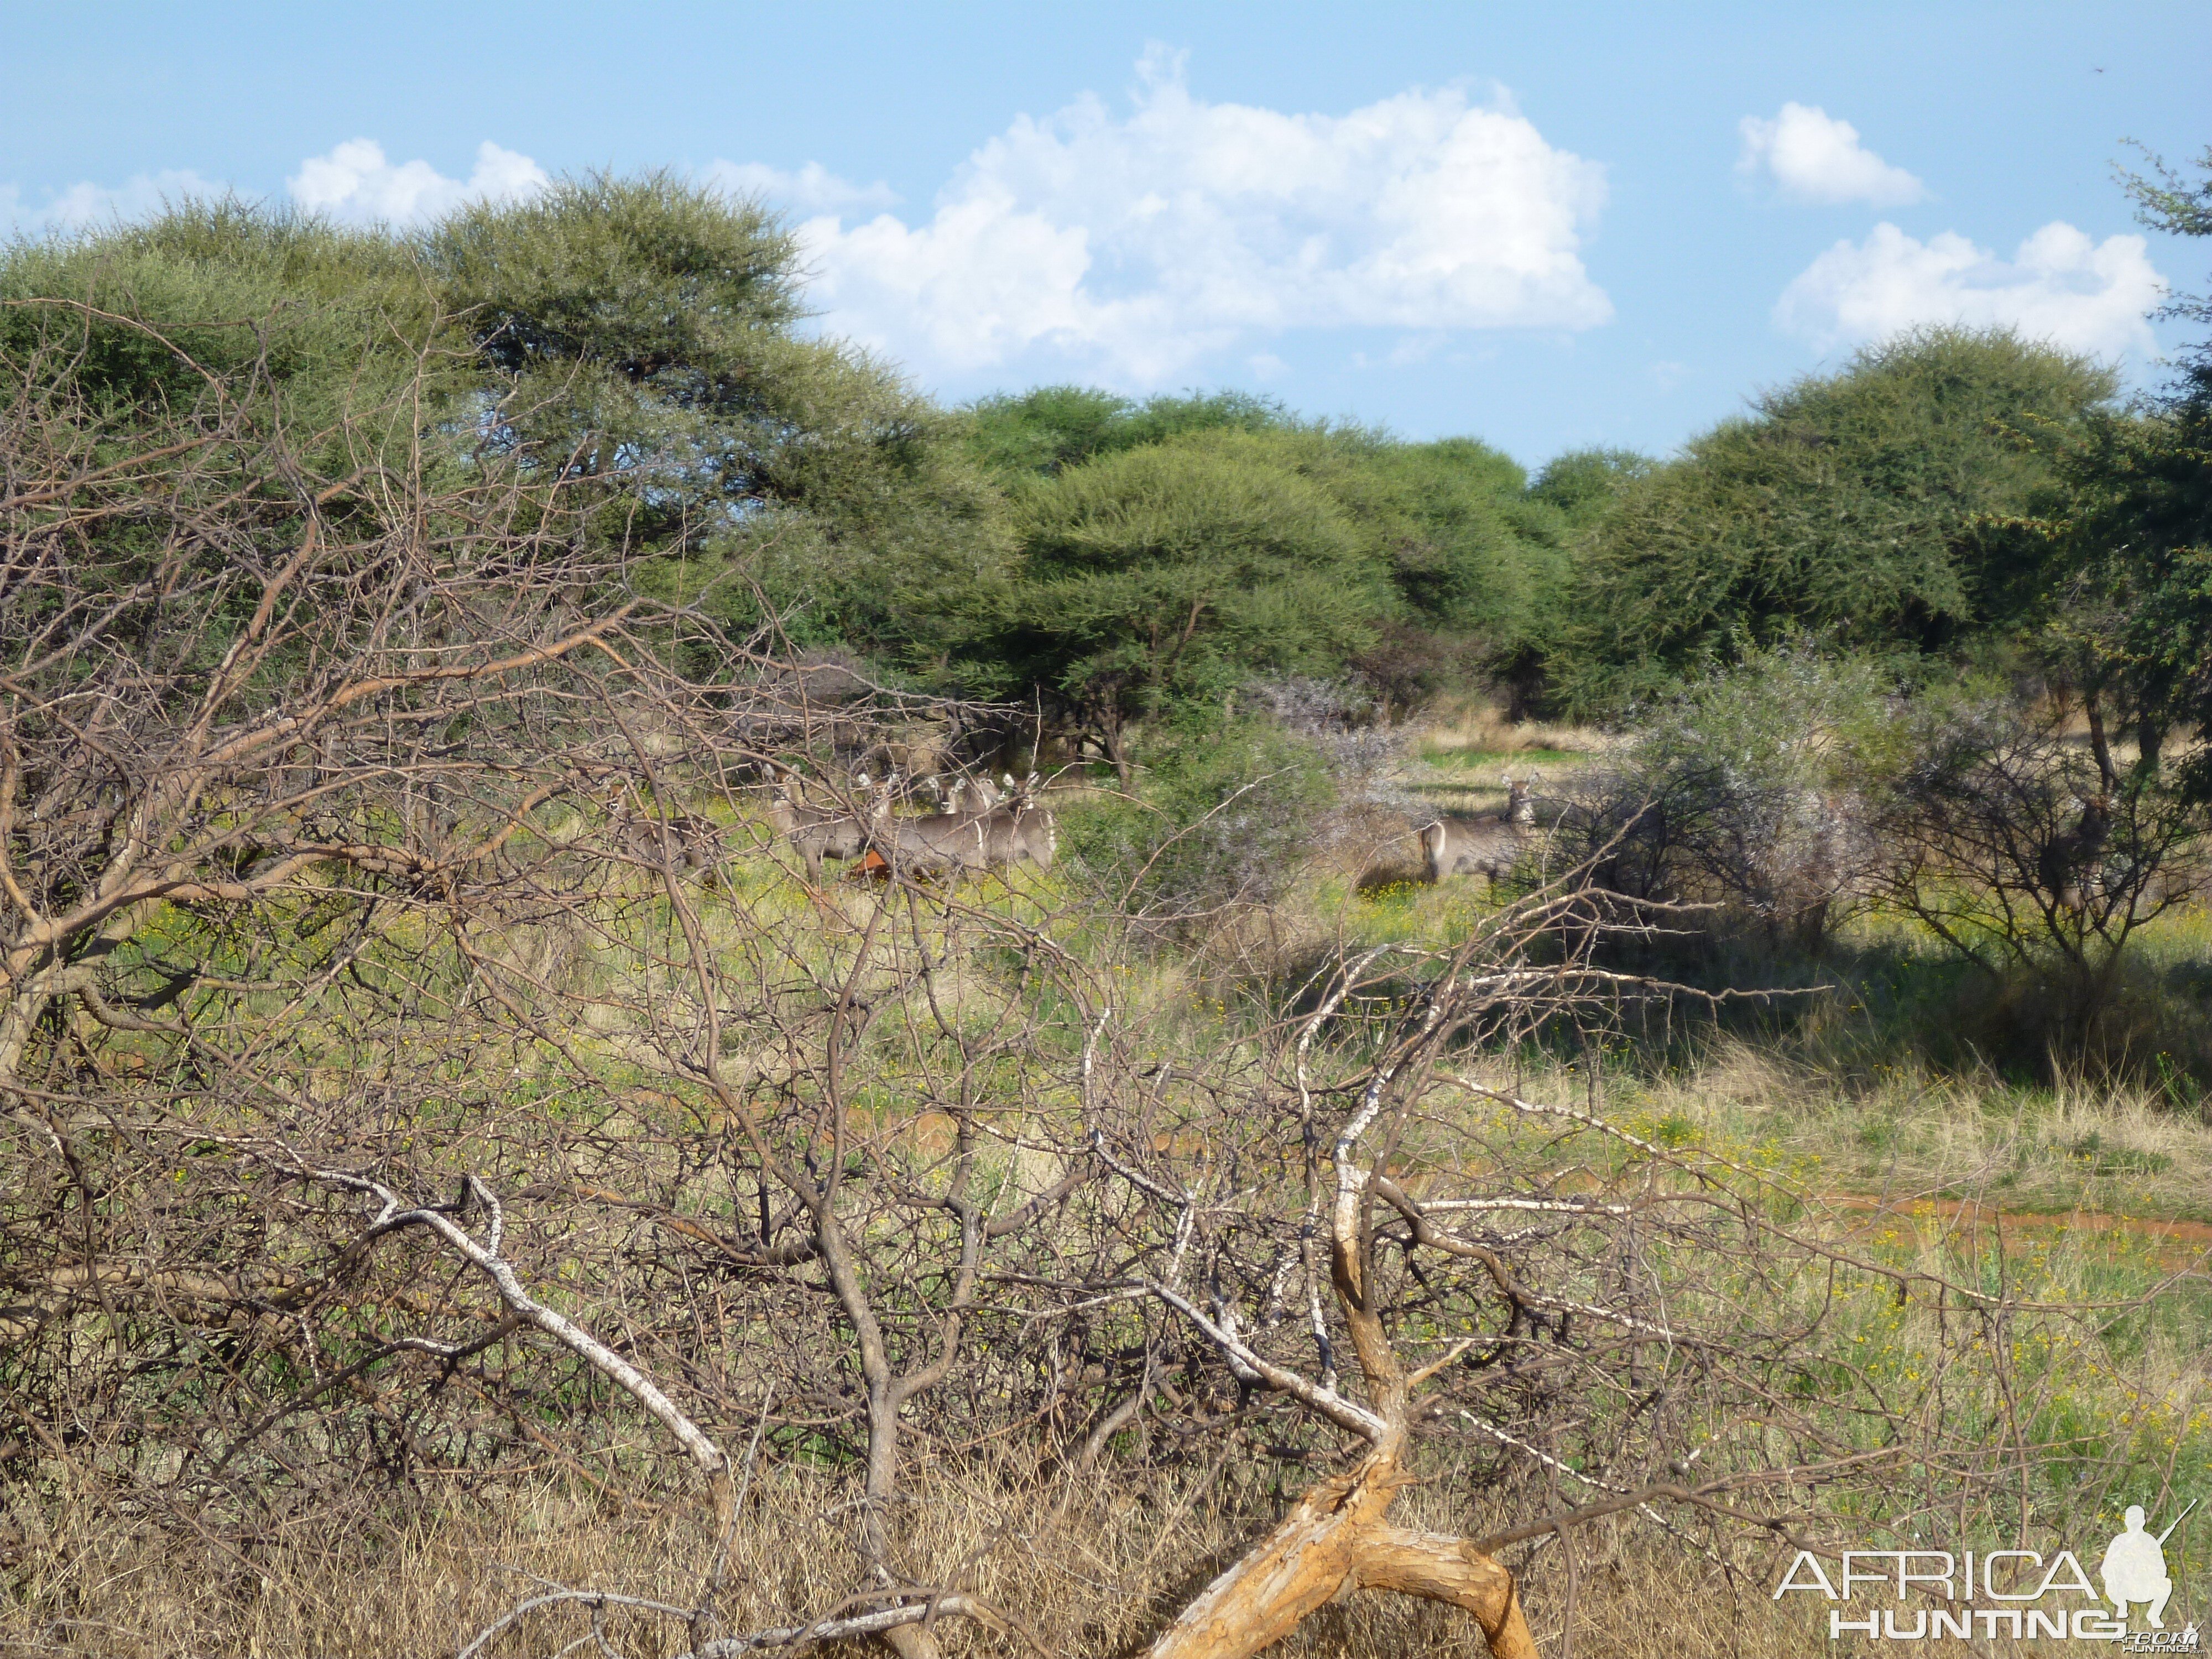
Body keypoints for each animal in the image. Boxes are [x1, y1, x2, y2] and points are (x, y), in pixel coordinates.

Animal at [1416, 779, 1540, 889]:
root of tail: (1431, 829)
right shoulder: (1503, 865)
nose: (1522, 799)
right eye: (1513, 789)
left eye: (1528, 788)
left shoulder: (1491, 871)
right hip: (1444, 866)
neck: (1514, 829)